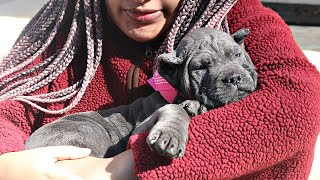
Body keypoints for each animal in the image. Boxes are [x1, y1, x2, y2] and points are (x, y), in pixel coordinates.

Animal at [25, 27, 258, 158]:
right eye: (200, 67)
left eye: (237, 55)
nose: (234, 77)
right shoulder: (137, 133)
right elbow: (174, 109)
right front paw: (171, 134)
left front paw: (195, 107)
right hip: (85, 132)